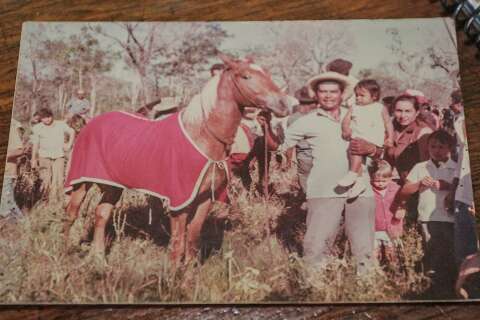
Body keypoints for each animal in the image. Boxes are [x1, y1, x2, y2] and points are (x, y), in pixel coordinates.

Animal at [62, 53, 296, 264]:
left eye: (266, 73)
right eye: (246, 76)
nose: (287, 104)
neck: (202, 137)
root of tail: (90, 123)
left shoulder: (205, 200)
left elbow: (192, 240)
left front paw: (188, 277)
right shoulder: (179, 204)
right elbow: (177, 244)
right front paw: (173, 280)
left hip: (112, 185)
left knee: (101, 214)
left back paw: (98, 259)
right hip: (82, 182)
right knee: (71, 213)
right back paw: (65, 250)